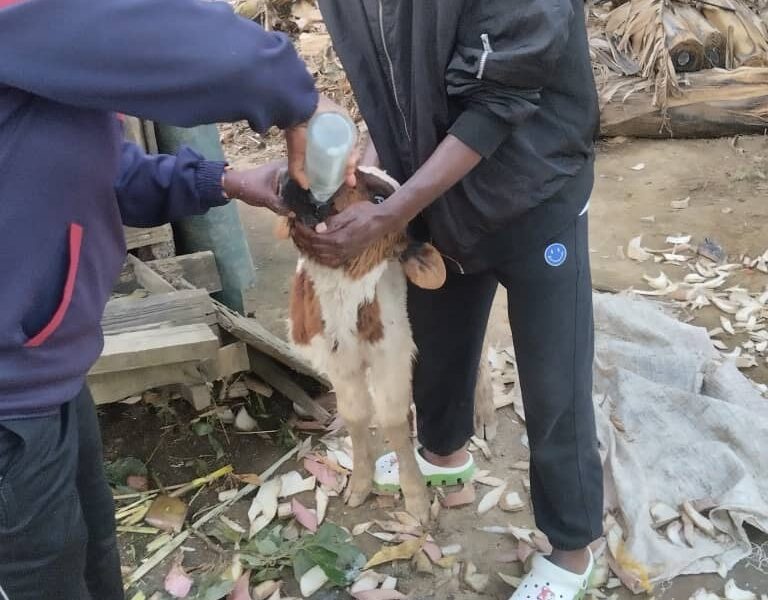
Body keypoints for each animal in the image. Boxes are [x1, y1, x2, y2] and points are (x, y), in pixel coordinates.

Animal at [280, 166, 496, 524]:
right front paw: (359, 484)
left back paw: (485, 416)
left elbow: (392, 420)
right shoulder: (339, 359)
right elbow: (355, 415)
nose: (298, 175)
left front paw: (417, 499)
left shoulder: (392, 354)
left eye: (380, 199)